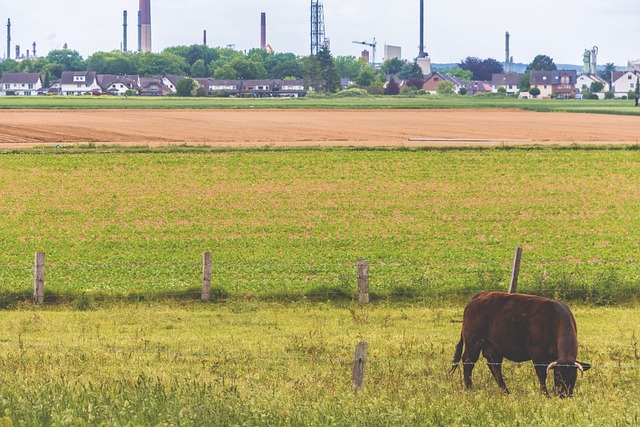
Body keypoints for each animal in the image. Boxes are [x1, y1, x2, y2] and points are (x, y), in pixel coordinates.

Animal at [450, 290, 592, 398]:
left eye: (574, 376)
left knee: (495, 367)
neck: (554, 320)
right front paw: (545, 394)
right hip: (473, 341)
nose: (564, 395)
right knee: (468, 362)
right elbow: (541, 375)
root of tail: (482, 294)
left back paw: (506, 391)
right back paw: (469, 389)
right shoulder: (537, 354)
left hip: (493, 347)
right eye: (558, 375)